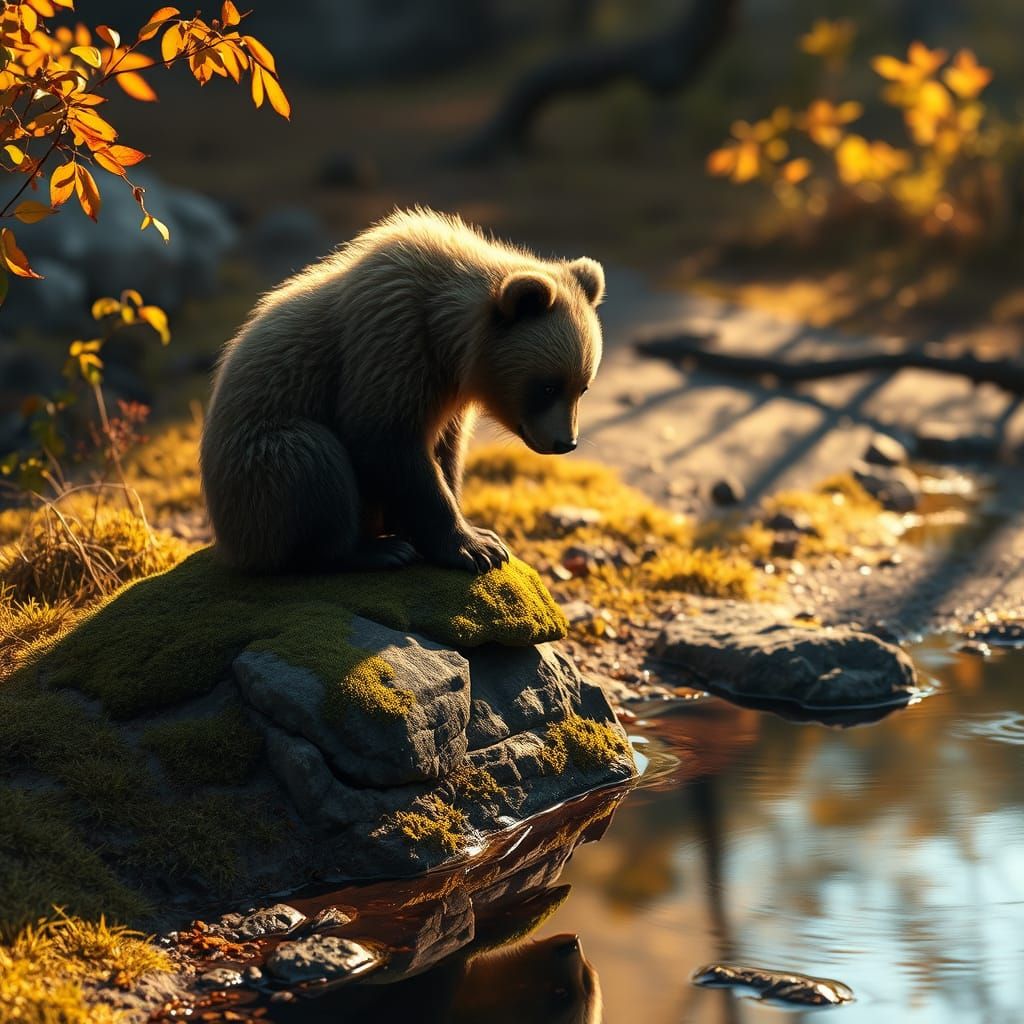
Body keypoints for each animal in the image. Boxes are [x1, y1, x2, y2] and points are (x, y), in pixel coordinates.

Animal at [200, 208, 605, 574]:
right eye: (548, 385)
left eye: (583, 386)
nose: (565, 442)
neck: (448, 343)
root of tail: (227, 542)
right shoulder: (390, 344)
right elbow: (386, 442)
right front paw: (475, 546)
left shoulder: (444, 395)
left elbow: (446, 452)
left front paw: (469, 531)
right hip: (255, 468)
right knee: (310, 460)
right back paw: (370, 551)